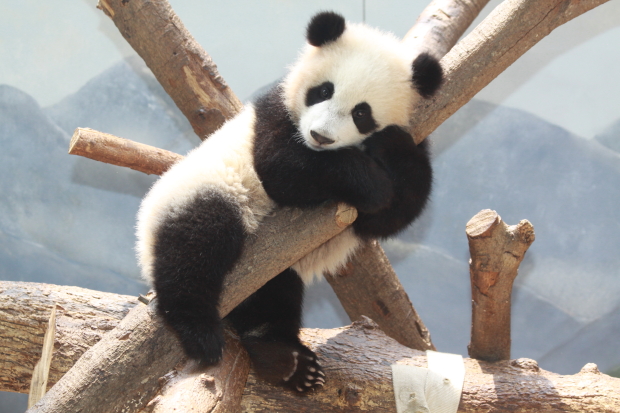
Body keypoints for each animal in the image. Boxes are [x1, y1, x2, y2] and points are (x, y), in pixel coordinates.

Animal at [138, 12, 444, 392]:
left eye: (362, 113)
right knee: (195, 249)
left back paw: (284, 361)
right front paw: (371, 183)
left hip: (271, 272)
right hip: (197, 194)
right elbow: (281, 168)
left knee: (273, 298)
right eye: (323, 91)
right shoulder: (274, 112)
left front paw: (390, 148)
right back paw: (200, 333)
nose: (320, 136)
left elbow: (392, 213)